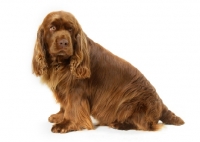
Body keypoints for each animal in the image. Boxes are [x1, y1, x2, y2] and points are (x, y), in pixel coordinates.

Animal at [32, 11, 184, 133]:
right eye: (52, 28)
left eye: (70, 29)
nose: (64, 42)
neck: (61, 63)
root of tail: (161, 104)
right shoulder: (64, 88)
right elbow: (65, 105)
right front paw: (59, 116)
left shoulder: (76, 90)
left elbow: (73, 108)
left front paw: (66, 124)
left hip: (130, 104)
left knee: (146, 124)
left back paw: (119, 124)